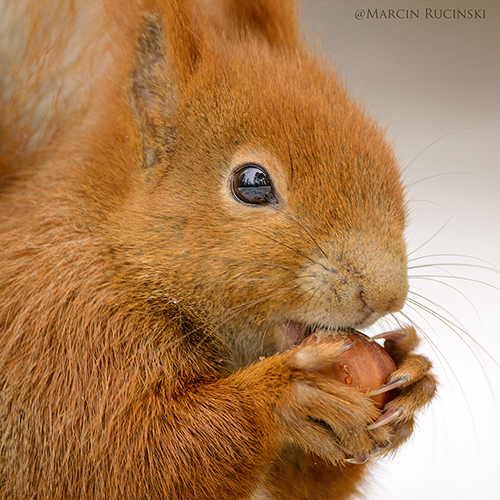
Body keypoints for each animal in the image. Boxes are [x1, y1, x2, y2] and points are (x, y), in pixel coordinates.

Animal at [0, 0, 436, 500]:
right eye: (252, 183)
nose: (385, 295)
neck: (123, 261)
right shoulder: (65, 335)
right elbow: (126, 459)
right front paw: (287, 393)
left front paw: (414, 374)